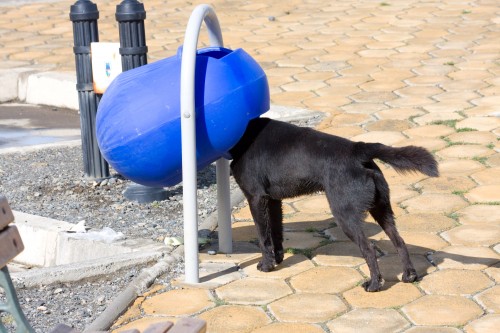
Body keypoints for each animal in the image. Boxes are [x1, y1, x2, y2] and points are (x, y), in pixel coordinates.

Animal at [230, 116, 438, 290]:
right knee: (399, 241)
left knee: (369, 249)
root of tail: (358, 150)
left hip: (345, 215)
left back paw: (373, 285)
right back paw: (409, 275)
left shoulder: (256, 198)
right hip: (381, 210)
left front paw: (266, 265)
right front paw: (278, 260)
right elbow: (276, 233)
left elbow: (263, 237)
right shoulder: (273, 201)